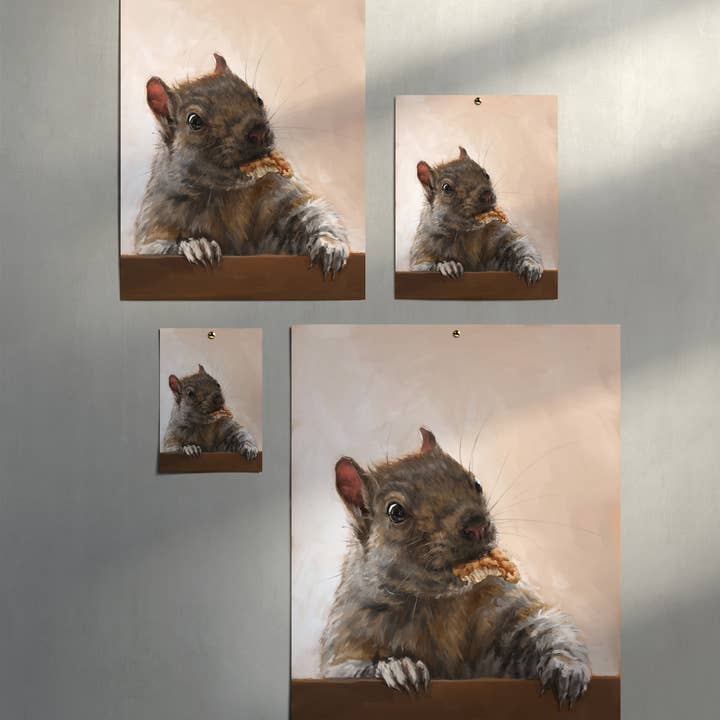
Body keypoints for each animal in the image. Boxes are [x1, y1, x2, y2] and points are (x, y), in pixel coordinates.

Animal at [134, 53, 350, 277]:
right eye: (194, 121)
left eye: (258, 98)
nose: (258, 131)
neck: (228, 195)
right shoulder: (157, 219)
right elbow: (154, 247)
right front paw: (195, 246)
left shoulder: (279, 191)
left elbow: (309, 212)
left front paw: (329, 245)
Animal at [320, 428, 591, 708]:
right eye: (395, 511)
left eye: (476, 483)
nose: (477, 525)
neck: (438, 603)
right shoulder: (349, 634)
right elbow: (345, 668)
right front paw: (397, 667)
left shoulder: (502, 602)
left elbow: (541, 625)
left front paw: (566, 666)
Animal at [409, 147, 543, 285]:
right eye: (446, 188)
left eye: (486, 174)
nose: (487, 194)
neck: (468, 234)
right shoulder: (423, 248)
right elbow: (421, 267)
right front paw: (447, 265)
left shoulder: (500, 231)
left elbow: (519, 245)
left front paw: (531, 265)